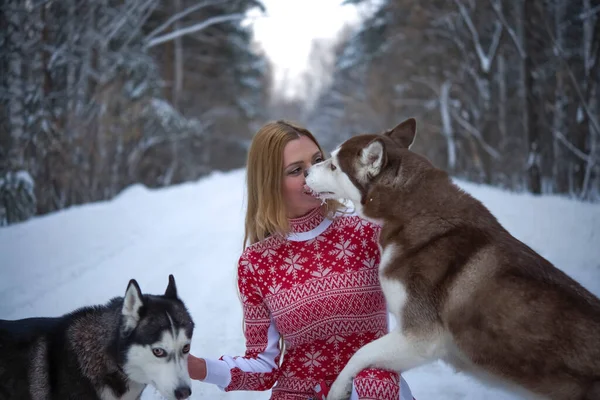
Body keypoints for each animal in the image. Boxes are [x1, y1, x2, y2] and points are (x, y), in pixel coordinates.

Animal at [304, 119, 600, 400]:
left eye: (333, 166)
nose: (305, 171)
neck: (411, 210)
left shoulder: (420, 337)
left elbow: (360, 354)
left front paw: (337, 389)